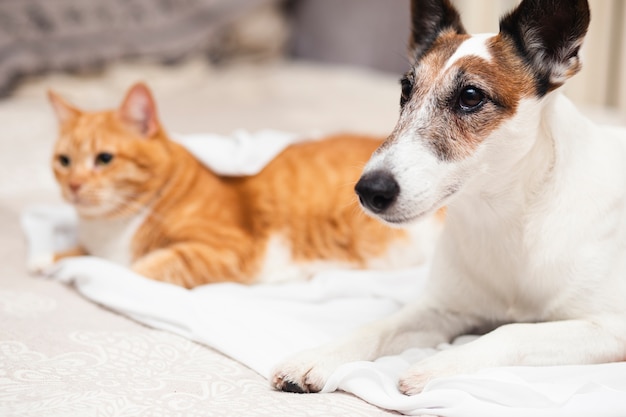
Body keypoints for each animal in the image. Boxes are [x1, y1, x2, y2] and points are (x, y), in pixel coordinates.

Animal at [42, 83, 444, 288]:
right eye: (64, 161)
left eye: (104, 159)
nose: (74, 185)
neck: (109, 228)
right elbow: (71, 253)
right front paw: (51, 259)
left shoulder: (228, 248)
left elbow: (142, 267)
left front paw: (96, 269)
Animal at [270, 0, 624, 396]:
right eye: (405, 89)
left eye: (470, 97)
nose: (369, 190)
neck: (507, 217)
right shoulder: (442, 309)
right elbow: (380, 326)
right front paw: (318, 356)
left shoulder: (610, 329)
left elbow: (512, 331)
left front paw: (437, 365)